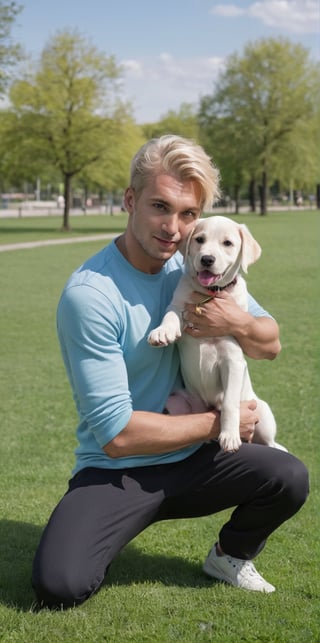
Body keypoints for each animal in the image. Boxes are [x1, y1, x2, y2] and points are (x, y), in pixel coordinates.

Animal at [148, 216, 284, 452]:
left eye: (227, 243)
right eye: (199, 239)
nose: (207, 259)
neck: (207, 296)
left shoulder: (233, 360)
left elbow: (229, 403)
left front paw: (229, 436)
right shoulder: (179, 305)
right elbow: (171, 314)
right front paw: (162, 332)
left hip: (263, 413)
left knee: (272, 444)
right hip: (179, 401)